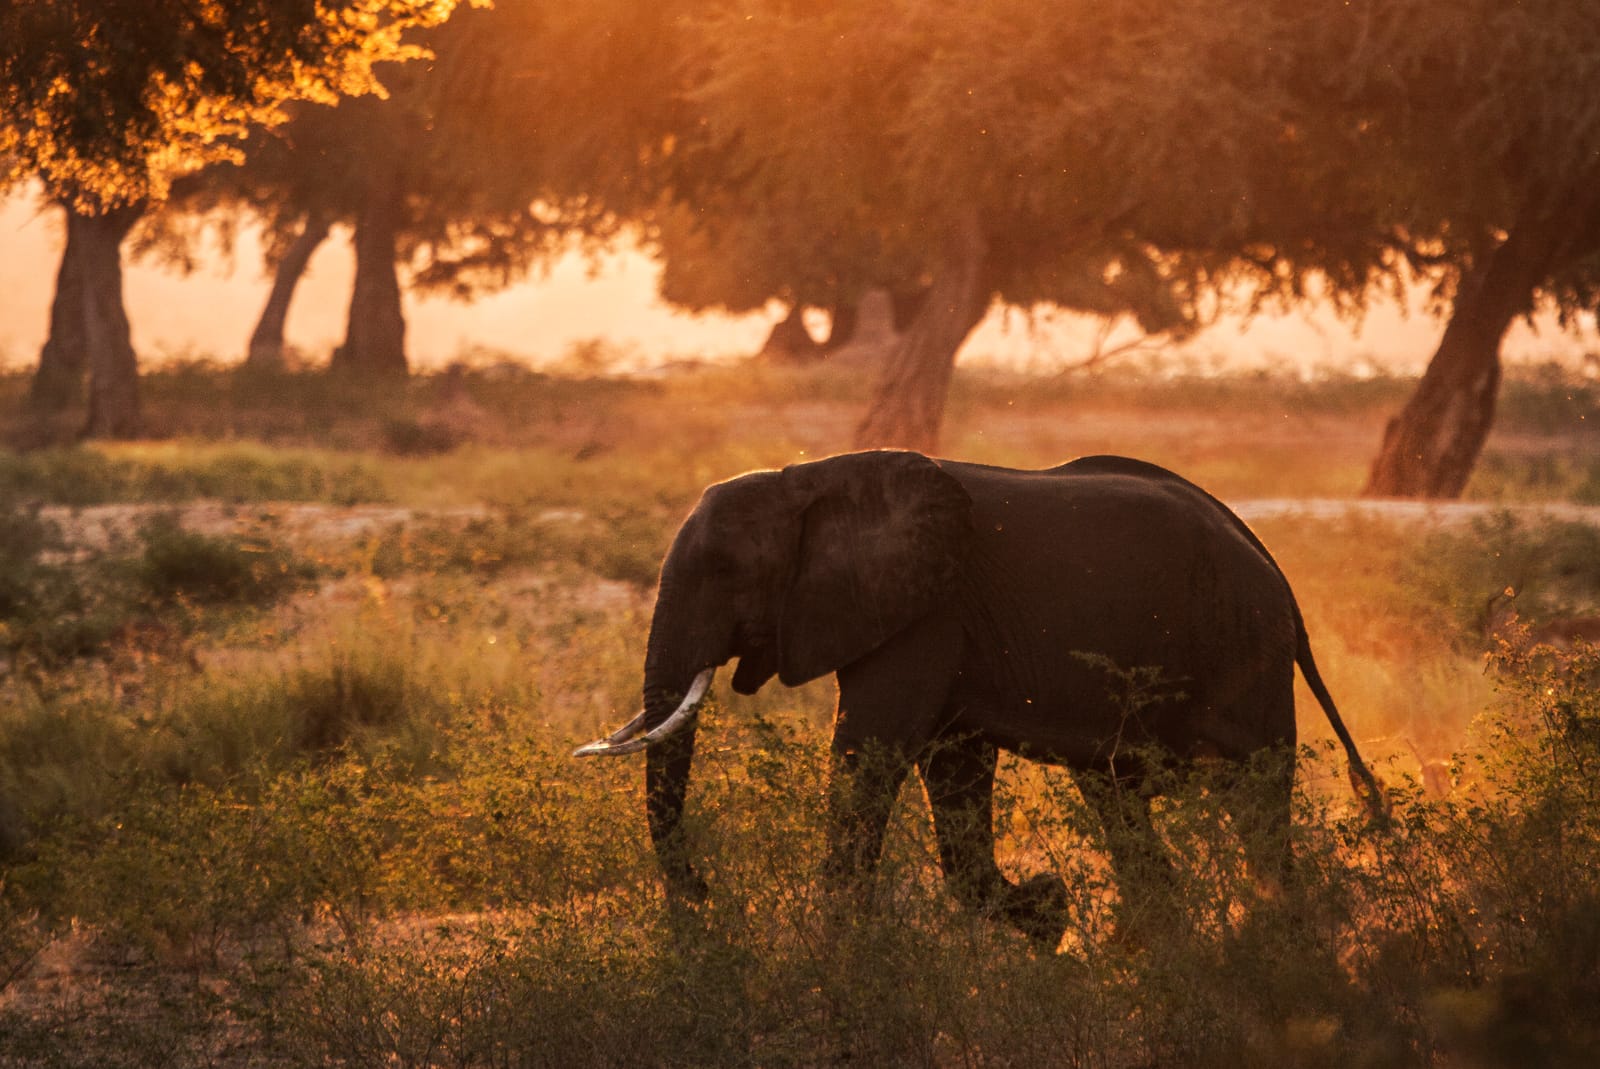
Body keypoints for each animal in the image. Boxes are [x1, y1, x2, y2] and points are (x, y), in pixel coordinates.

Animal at [576, 450, 1385, 948]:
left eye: (722, 567)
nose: (703, 890)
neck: (804, 478)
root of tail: (1276, 572)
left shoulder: (925, 613)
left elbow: (871, 753)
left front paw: (839, 956)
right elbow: (953, 770)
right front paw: (1050, 917)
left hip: (1244, 646)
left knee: (1256, 806)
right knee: (1120, 799)